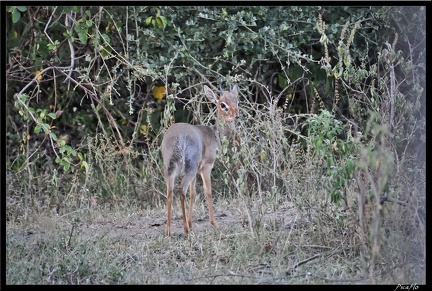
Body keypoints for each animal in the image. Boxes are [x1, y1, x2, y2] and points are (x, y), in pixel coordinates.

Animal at [161, 84, 238, 237]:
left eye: (236, 100)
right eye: (222, 104)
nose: (235, 115)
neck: (215, 134)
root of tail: (177, 138)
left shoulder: (196, 171)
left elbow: (193, 194)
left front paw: (191, 224)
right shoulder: (206, 166)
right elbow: (208, 192)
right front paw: (214, 224)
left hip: (170, 170)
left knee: (170, 193)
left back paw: (169, 231)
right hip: (189, 168)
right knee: (181, 190)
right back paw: (185, 230)